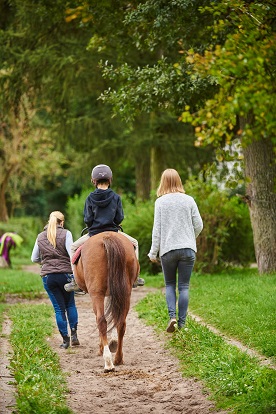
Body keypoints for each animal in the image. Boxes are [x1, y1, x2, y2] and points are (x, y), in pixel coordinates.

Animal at [73, 233, 139, 372]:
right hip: (126, 293)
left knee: (101, 321)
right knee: (121, 323)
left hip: (96, 294)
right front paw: (112, 342)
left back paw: (108, 362)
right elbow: (114, 317)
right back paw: (118, 358)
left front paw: (102, 347)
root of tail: (107, 237)